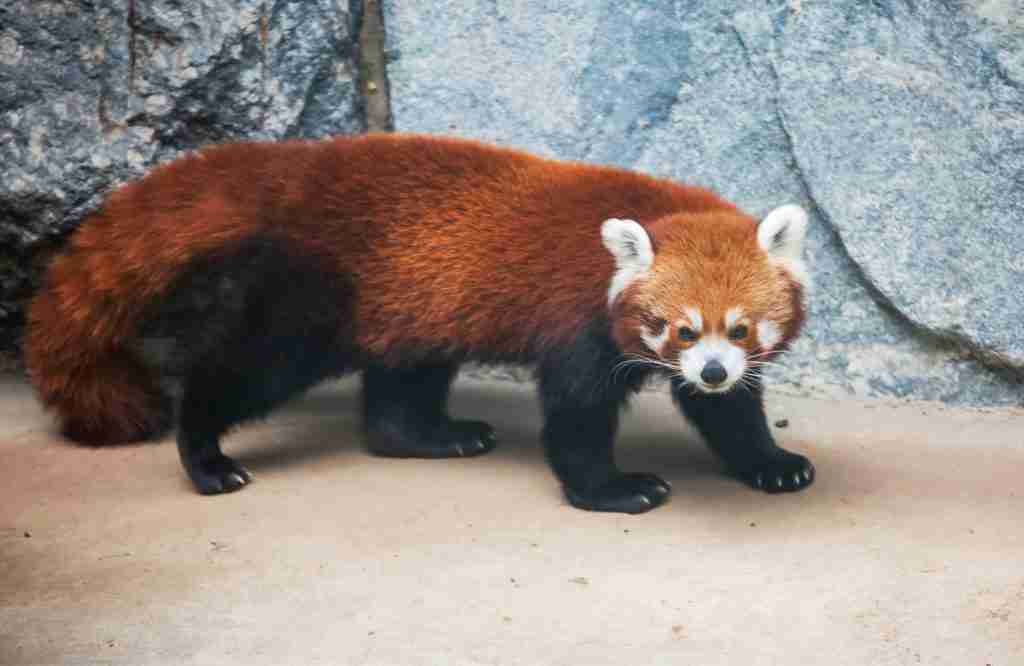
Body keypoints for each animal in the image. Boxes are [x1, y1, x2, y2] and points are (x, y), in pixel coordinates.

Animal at [24, 132, 811, 510]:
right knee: (248, 368)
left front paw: (769, 462)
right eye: (681, 329)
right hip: (312, 295)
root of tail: (296, 170)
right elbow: (577, 418)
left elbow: (728, 415)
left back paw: (435, 435)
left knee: (401, 386)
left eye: (739, 330)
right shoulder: (578, 326)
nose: (713, 370)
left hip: (409, 300)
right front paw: (613, 490)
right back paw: (205, 455)